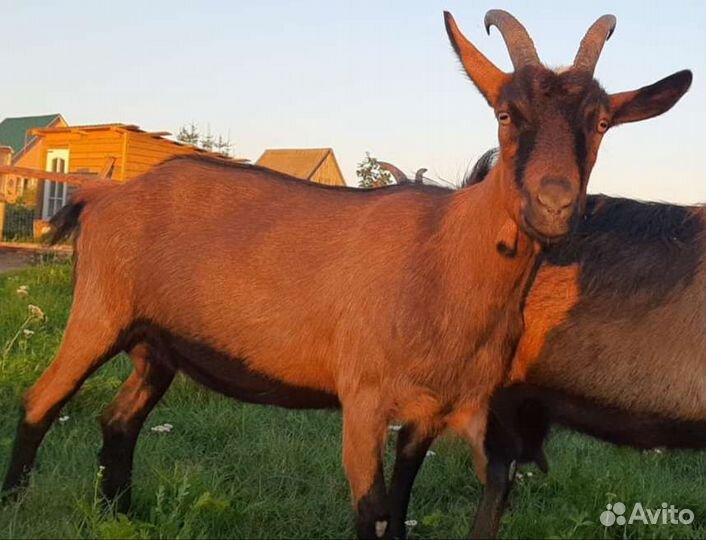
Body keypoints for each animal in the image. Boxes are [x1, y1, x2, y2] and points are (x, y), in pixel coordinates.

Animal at [1, 10, 692, 539]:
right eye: (504, 113)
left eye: (600, 122)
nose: (553, 203)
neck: (443, 254)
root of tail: (105, 195)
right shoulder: (363, 398)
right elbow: (374, 512)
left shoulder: (432, 409)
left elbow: (404, 504)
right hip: (99, 311)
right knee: (42, 399)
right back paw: (16, 503)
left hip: (158, 344)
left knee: (119, 419)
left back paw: (119, 513)